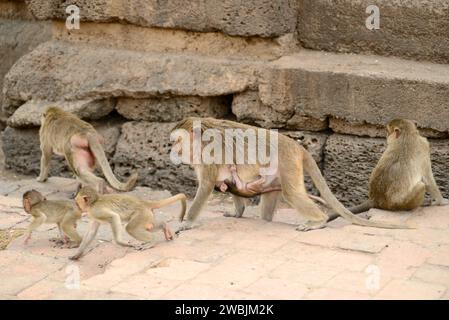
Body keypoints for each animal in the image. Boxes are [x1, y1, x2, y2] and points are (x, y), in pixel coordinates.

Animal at [172, 116, 410, 231]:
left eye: (176, 141)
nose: (171, 150)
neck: (200, 136)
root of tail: (297, 146)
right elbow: (226, 180)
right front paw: (237, 212)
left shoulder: (206, 157)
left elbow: (206, 187)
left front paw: (187, 222)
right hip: (276, 174)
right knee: (268, 206)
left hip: (287, 164)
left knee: (292, 194)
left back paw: (319, 221)